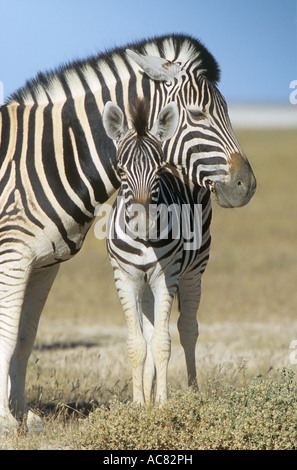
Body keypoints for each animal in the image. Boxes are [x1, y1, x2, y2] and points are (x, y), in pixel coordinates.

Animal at [0, 33, 254, 434]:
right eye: (198, 114)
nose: (248, 185)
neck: (48, 156)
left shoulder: (44, 263)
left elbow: (24, 338)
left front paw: (24, 416)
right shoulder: (14, 255)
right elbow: (8, 337)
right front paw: (8, 421)